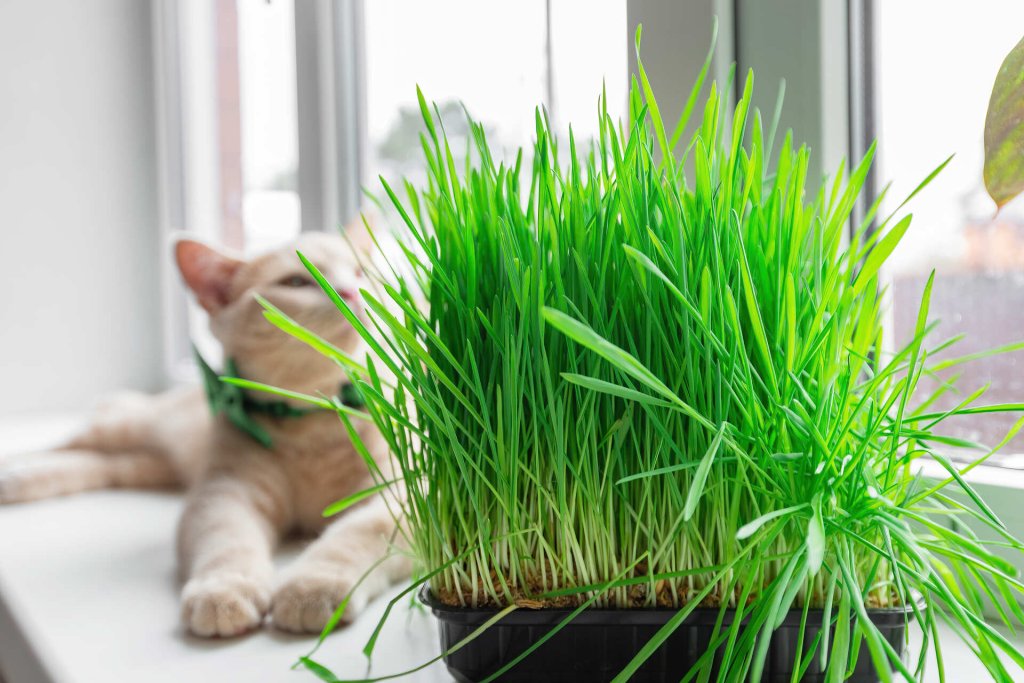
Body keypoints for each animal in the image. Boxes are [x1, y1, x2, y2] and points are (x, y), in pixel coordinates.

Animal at [0, 232, 407, 638]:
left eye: (361, 271)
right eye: (295, 281)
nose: (351, 291)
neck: (310, 417)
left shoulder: (397, 494)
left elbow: (355, 533)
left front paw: (314, 583)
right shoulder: (223, 493)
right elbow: (227, 541)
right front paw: (225, 590)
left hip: (151, 465)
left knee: (104, 465)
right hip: (132, 429)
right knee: (72, 442)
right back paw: (18, 474)